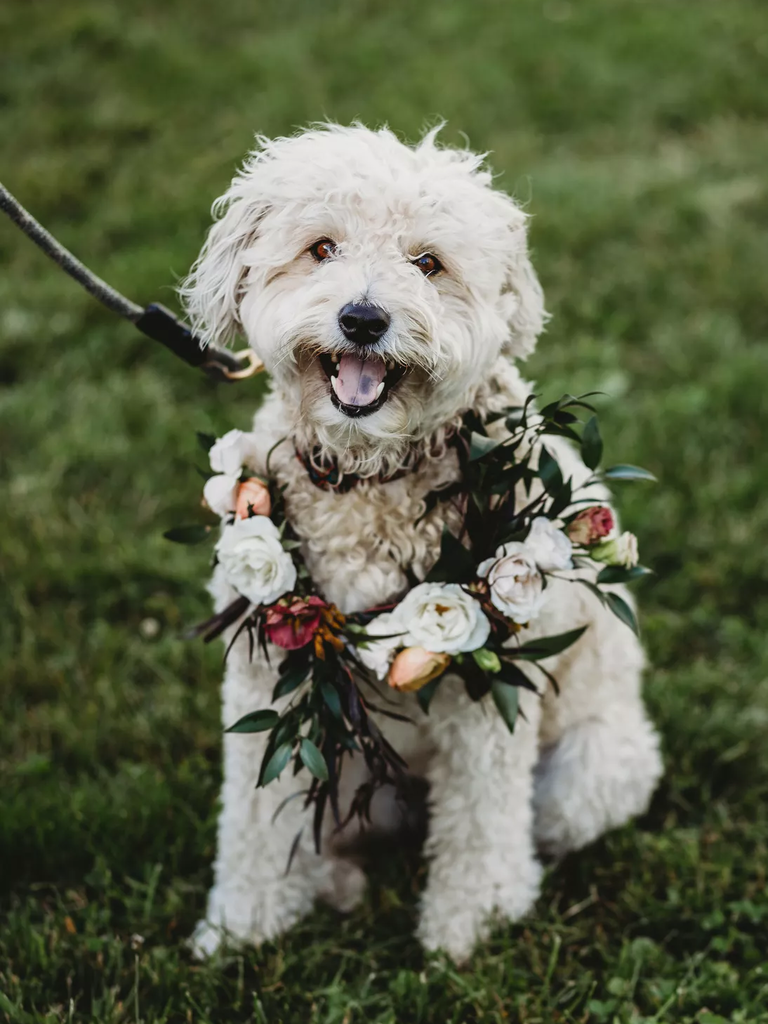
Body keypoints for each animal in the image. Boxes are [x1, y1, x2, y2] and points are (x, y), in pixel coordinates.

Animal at [180, 123, 663, 962]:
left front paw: (469, 925)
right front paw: (242, 925)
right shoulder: (266, 674)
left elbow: (481, 823)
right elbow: (254, 814)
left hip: (591, 770)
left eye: (428, 263)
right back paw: (336, 884)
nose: (362, 320)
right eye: (322, 248)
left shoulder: (490, 688)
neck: (367, 476)